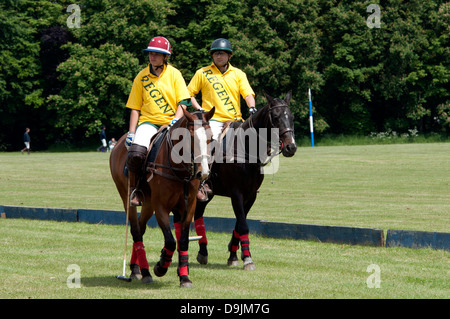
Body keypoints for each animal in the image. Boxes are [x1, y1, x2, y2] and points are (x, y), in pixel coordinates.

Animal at [109, 108, 214, 290]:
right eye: (190, 137)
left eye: (211, 137)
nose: (203, 173)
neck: (179, 169)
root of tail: (118, 144)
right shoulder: (161, 207)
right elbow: (171, 241)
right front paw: (160, 266)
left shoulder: (189, 206)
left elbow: (183, 240)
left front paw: (184, 278)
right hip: (126, 196)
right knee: (135, 230)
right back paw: (145, 273)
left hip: (148, 203)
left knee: (141, 227)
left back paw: (136, 269)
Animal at [192, 92, 296, 270]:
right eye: (275, 117)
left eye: (292, 117)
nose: (291, 147)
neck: (247, 150)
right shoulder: (236, 193)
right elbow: (243, 225)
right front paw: (247, 259)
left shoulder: (251, 195)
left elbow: (239, 224)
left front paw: (234, 256)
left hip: (208, 194)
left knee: (198, 213)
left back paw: (203, 252)